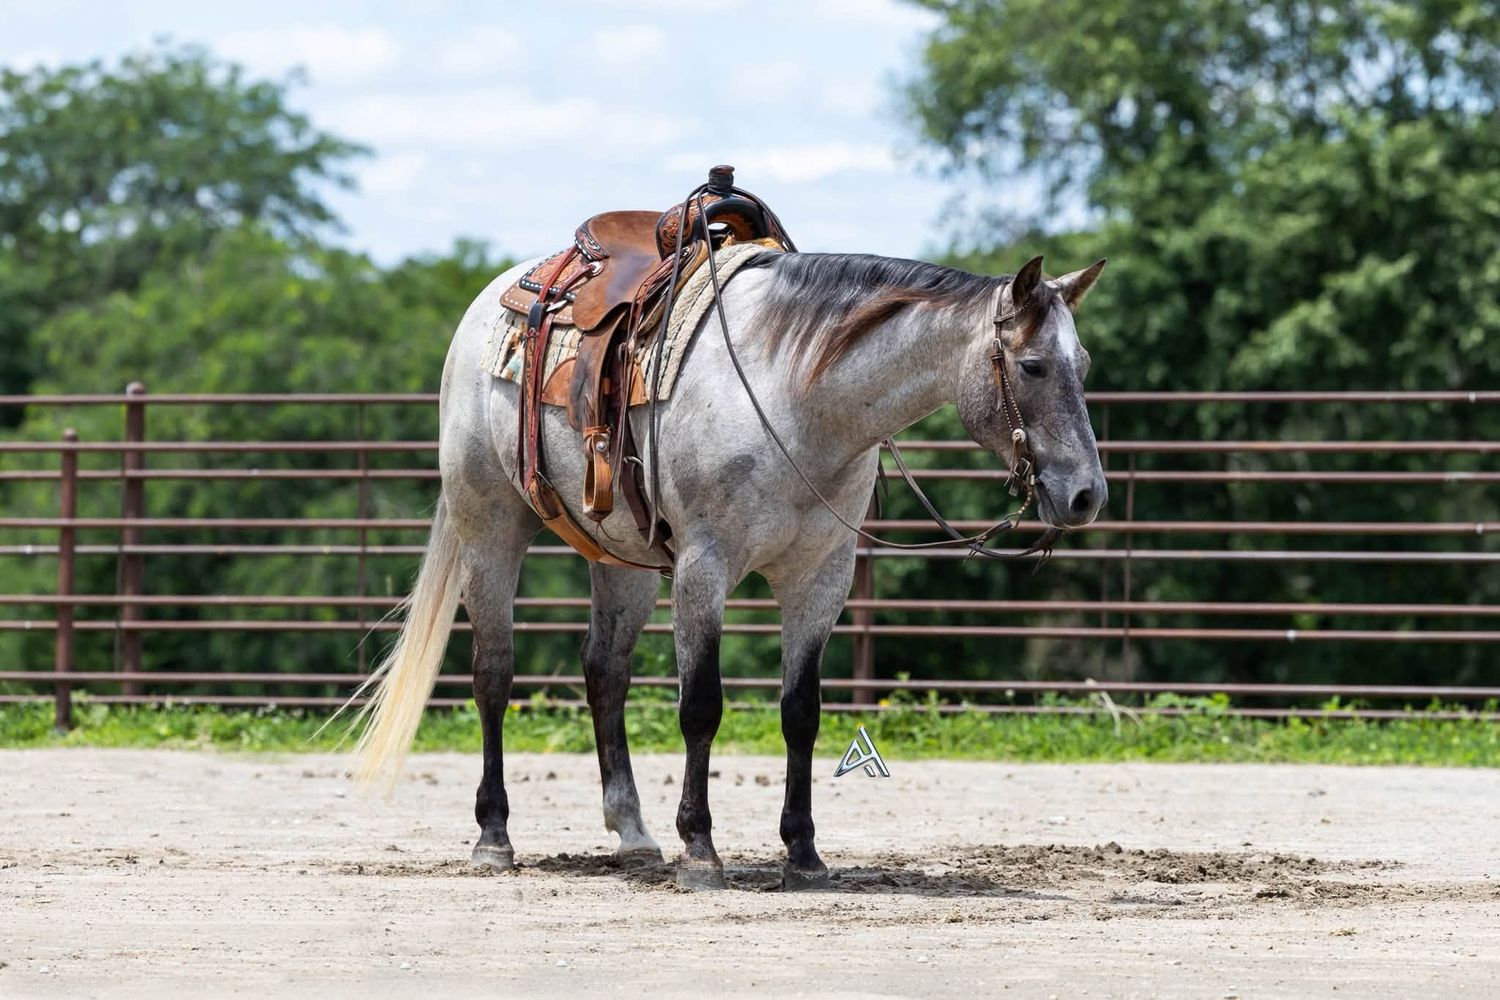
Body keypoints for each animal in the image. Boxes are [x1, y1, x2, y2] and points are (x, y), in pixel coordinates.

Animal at [347, 248, 1108, 890]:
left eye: (1085, 364)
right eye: (1034, 366)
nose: (1086, 495)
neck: (795, 398)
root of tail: (490, 301)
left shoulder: (820, 581)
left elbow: (801, 711)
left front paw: (803, 852)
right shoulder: (703, 569)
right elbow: (701, 706)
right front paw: (701, 849)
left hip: (620, 560)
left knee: (604, 673)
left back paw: (633, 834)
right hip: (491, 528)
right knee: (494, 675)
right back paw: (495, 836)